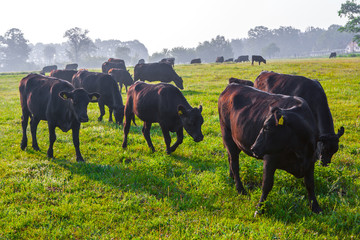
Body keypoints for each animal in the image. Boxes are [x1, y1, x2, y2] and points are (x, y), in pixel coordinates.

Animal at [218, 83, 322, 215]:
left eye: (267, 127)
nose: (253, 148)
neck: (299, 151)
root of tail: (232, 85)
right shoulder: (270, 159)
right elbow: (266, 185)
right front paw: (260, 208)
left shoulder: (311, 160)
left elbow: (310, 184)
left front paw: (315, 206)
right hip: (227, 135)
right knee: (235, 163)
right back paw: (240, 189)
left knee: (230, 159)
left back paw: (232, 178)